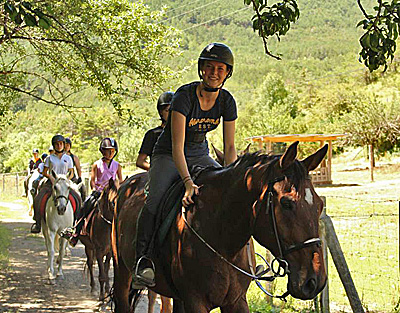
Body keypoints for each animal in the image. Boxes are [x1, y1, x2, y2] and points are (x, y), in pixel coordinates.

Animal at [111, 142, 326, 312]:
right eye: (286, 203)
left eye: (320, 205)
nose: (314, 281)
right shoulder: (196, 302)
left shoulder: (236, 301)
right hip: (122, 272)